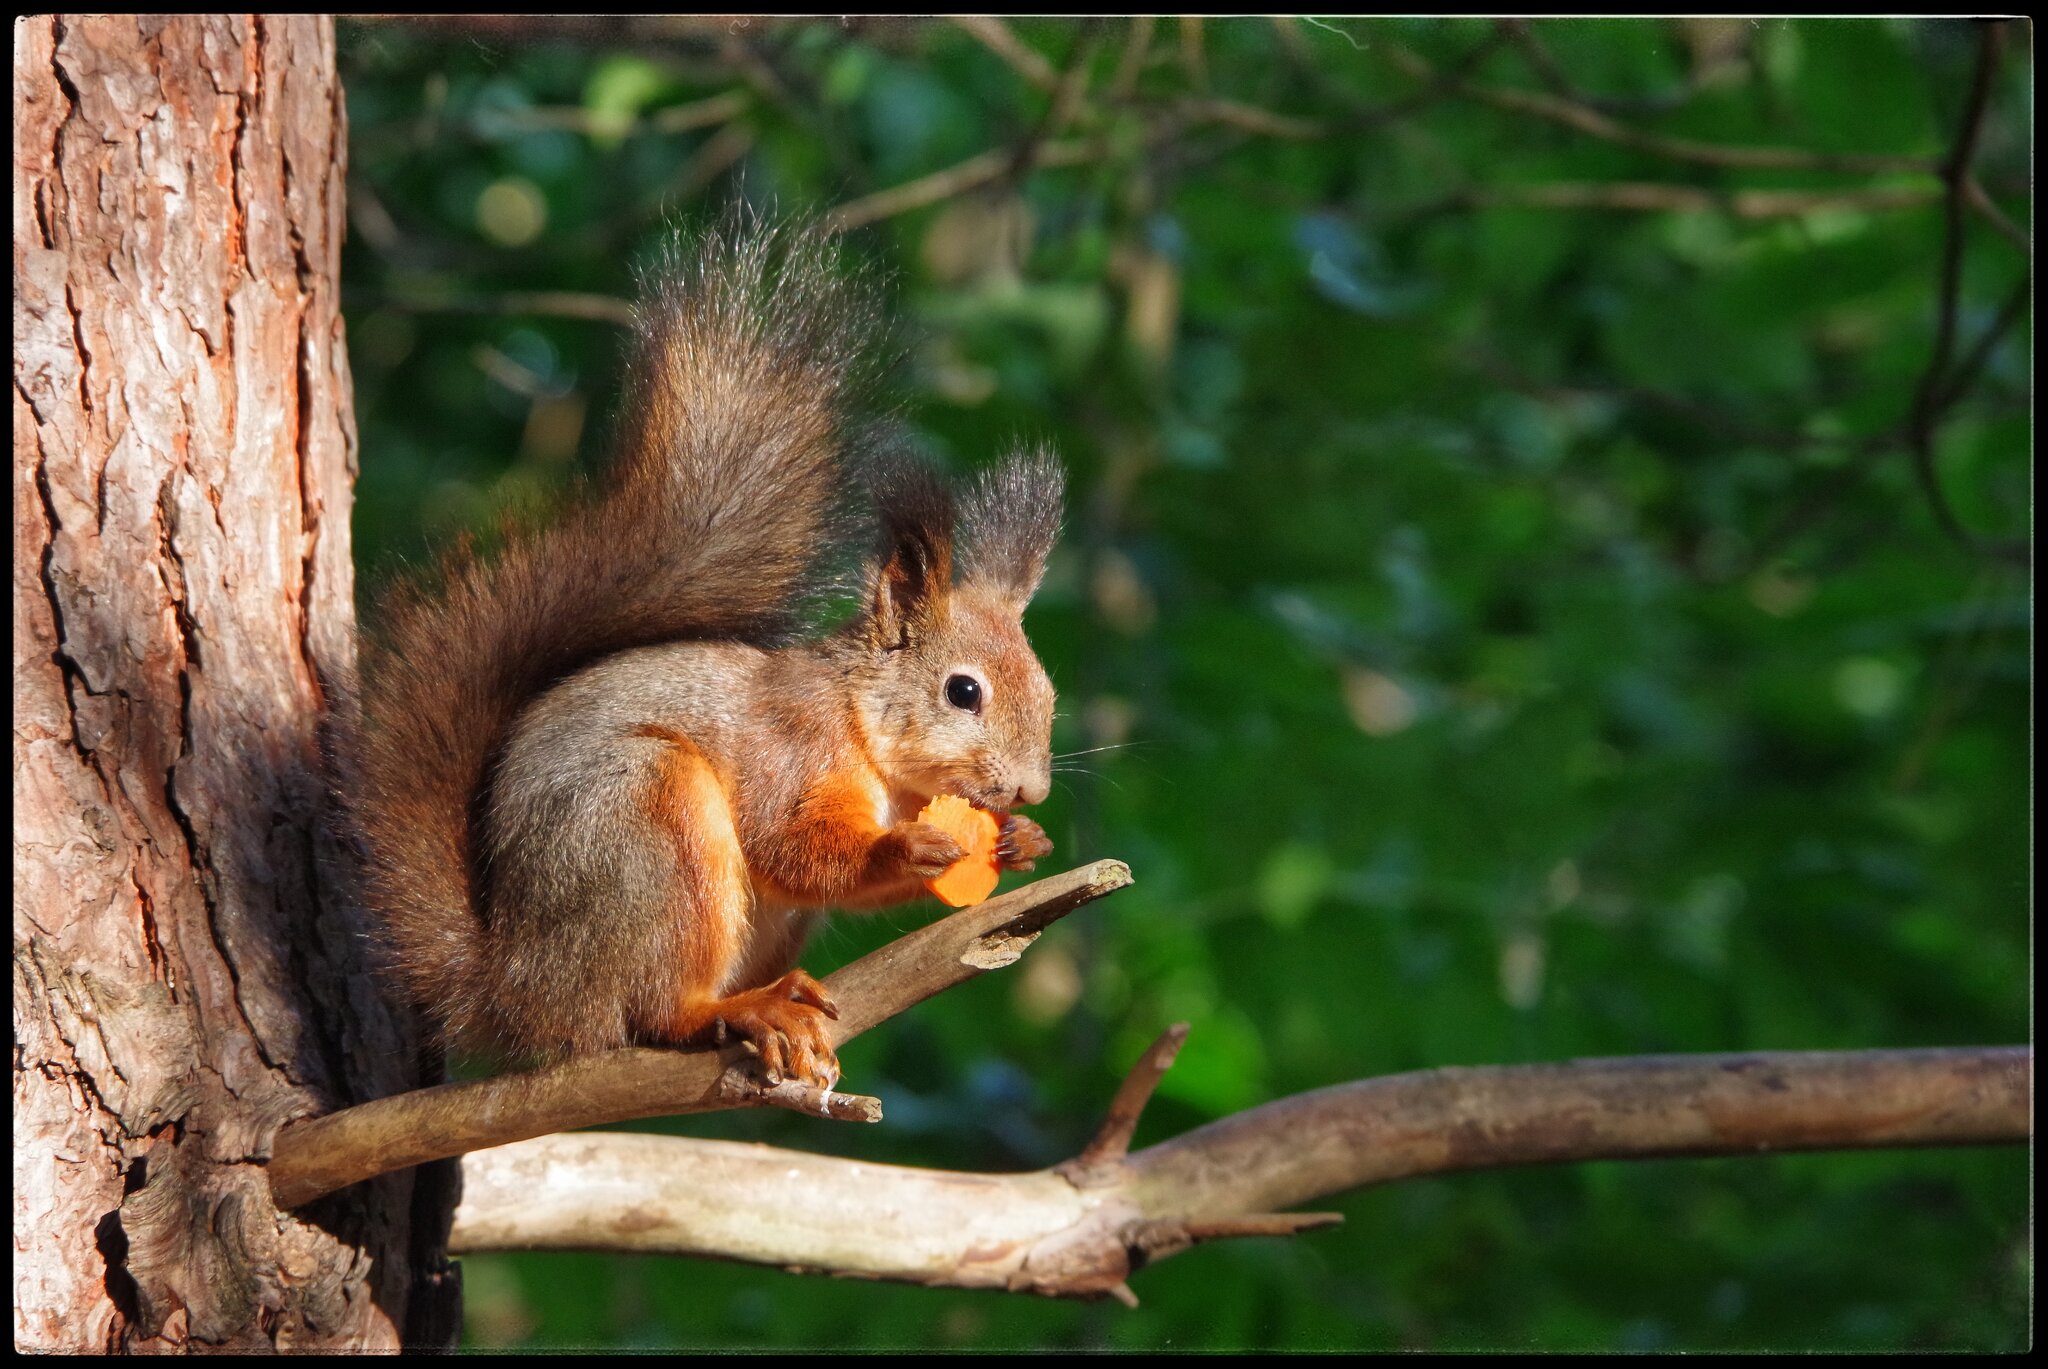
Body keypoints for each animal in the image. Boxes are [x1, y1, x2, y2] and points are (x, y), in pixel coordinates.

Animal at [353, 224, 1063, 1091]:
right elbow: (792, 847)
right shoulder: (788, 751)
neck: (866, 734)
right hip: (646, 829)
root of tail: (520, 989)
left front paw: (1022, 839)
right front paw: (909, 845)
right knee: (653, 1013)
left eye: (1049, 694)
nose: (1030, 788)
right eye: (964, 691)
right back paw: (733, 1009)